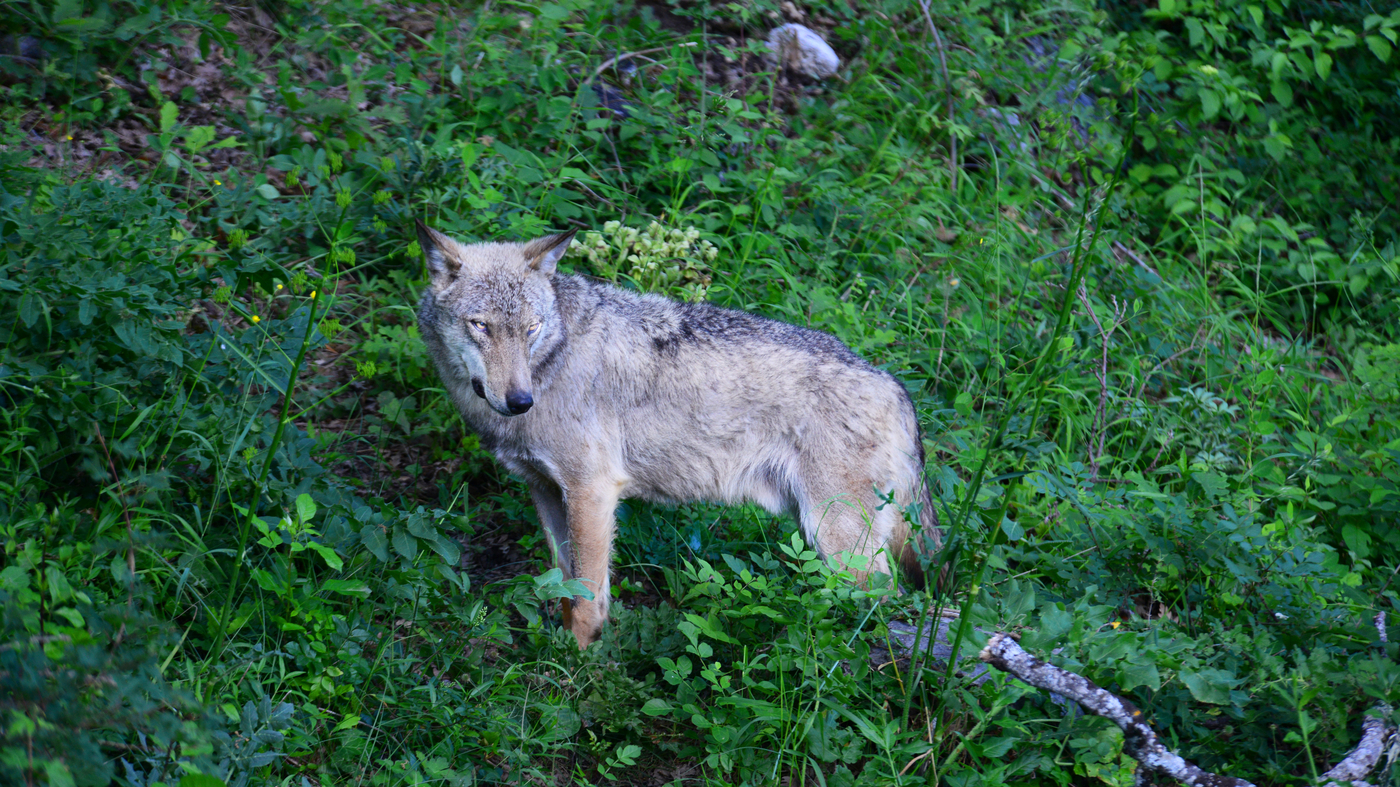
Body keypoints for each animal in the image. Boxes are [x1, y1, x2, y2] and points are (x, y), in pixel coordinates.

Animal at [414, 221, 942, 648]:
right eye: (480, 326)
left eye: (531, 328)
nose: (520, 400)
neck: (552, 364)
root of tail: (895, 386)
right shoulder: (545, 490)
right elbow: (567, 588)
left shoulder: (592, 491)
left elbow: (587, 599)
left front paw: (581, 669)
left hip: (837, 541)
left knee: (886, 600)